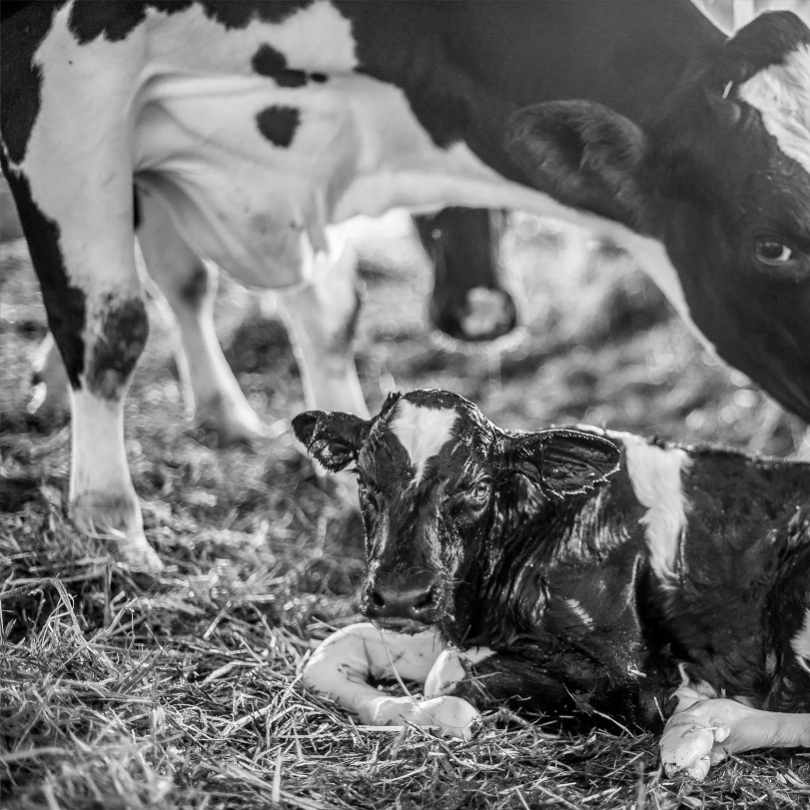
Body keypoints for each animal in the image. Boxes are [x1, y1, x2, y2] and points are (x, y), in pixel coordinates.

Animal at [1, 1, 808, 568]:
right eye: (771, 246)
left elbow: (329, 315)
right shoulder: (67, 88)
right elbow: (111, 324)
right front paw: (108, 520)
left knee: (185, 280)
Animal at [292, 388, 808, 780]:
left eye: (479, 487)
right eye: (363, 480)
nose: (400, 596)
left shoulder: (631, 676)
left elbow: (445, 674)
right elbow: (330, 651)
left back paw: (698, 727)